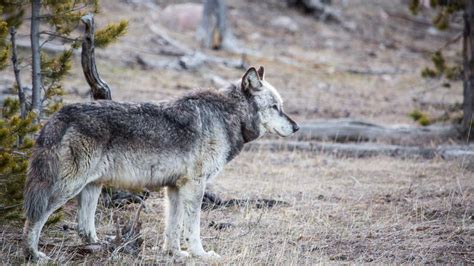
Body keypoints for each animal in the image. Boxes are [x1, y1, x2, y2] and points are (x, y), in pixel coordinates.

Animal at [24, 65, 298, 260]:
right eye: (275, 107)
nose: (296, 127)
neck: (227, 116)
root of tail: (58, 115)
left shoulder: (175, 187)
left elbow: (173, 227)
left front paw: (175, 253)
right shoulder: (195, 185)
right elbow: (193, 227)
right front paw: (200, 254)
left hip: (92, 187)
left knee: (83, 227)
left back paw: (101, 248)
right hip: (67, 188)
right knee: (35, 217)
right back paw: (34, 254)